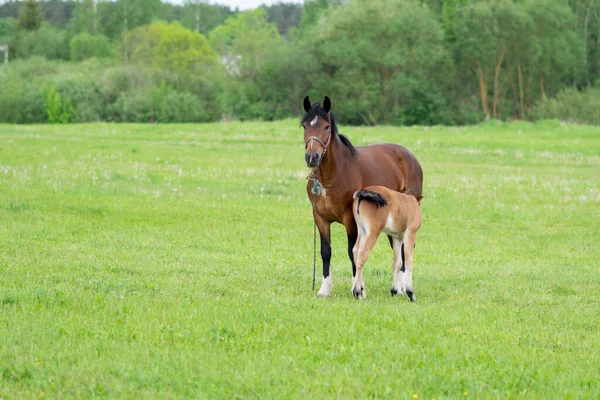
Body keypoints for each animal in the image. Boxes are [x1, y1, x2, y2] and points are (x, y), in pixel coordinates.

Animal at [302, 96, 424, 296]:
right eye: (305, 126)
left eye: (326, 127)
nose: (312, 157)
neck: (331, 177)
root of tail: (410, 157)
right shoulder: (320, 218)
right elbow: (325, 251)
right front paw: (324, 289)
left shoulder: (350, 219)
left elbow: (353, 251)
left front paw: (358, 288)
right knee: (397, 247)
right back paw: (397, 288)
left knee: (403, 250)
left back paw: (401, 288)